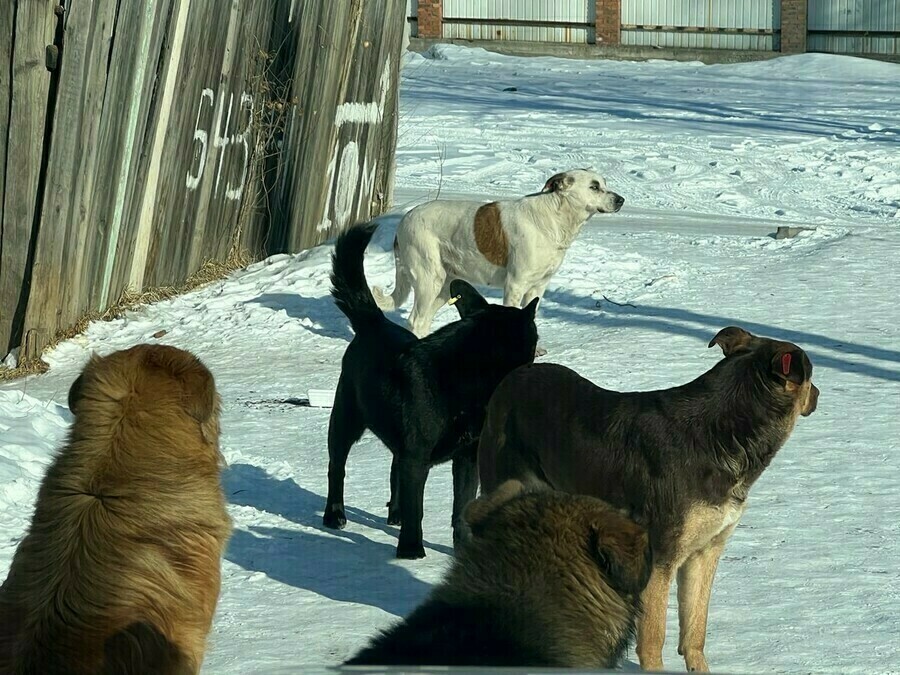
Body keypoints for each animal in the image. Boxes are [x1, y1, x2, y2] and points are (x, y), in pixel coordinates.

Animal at [324, 222, 536, 560]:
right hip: (346, 420)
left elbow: (462, 505)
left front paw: (462, 547)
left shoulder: (466, 458)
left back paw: (395, 513)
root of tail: (374, 321)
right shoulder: (417, 457)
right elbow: (418, 507)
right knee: (337, 468)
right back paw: (334, 515)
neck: (465, 379)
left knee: (394, 468)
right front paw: (411, 551)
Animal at [370, 169, 620, 338]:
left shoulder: (539, 287)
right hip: (428, 280)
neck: (554, 218)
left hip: (443, 286)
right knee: (415, 320)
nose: (621, 200)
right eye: (594, 187)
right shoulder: (515, 284)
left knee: (422, 323)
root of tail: (404, 221)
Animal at [482, 326, 820, 672]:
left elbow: (695, 631)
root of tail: (511, 379)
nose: (818, 395)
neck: (726, 432)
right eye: (810, 376)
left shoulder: (705, 552)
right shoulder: (661, 557)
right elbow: (653, 637)